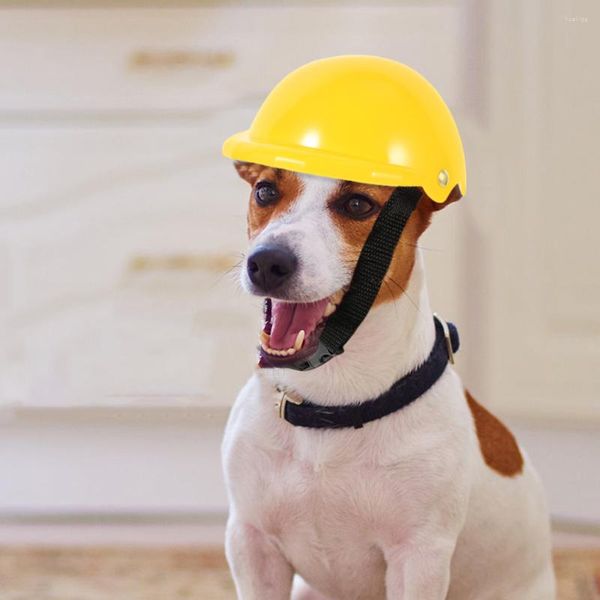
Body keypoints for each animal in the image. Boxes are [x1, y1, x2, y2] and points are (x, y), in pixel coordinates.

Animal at [223, 162, 556, 596]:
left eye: (358, 204)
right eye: (265, 191)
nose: (266, 263)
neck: (331, 405)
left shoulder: (418, 559)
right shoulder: (251, 543)